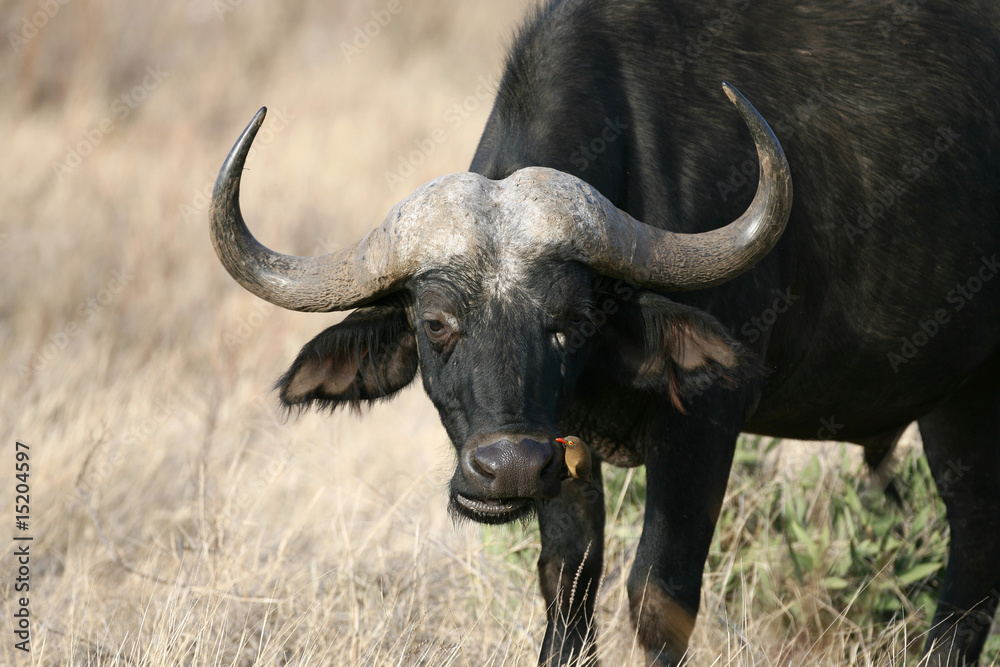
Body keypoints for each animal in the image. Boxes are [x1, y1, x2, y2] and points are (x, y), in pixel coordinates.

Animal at [210, 1, 1000, 664]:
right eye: (436, 322)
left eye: (571, 320)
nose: (507, 468)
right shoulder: (567, 449)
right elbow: (566, 581)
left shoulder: (705, 422)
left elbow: (659, 594)